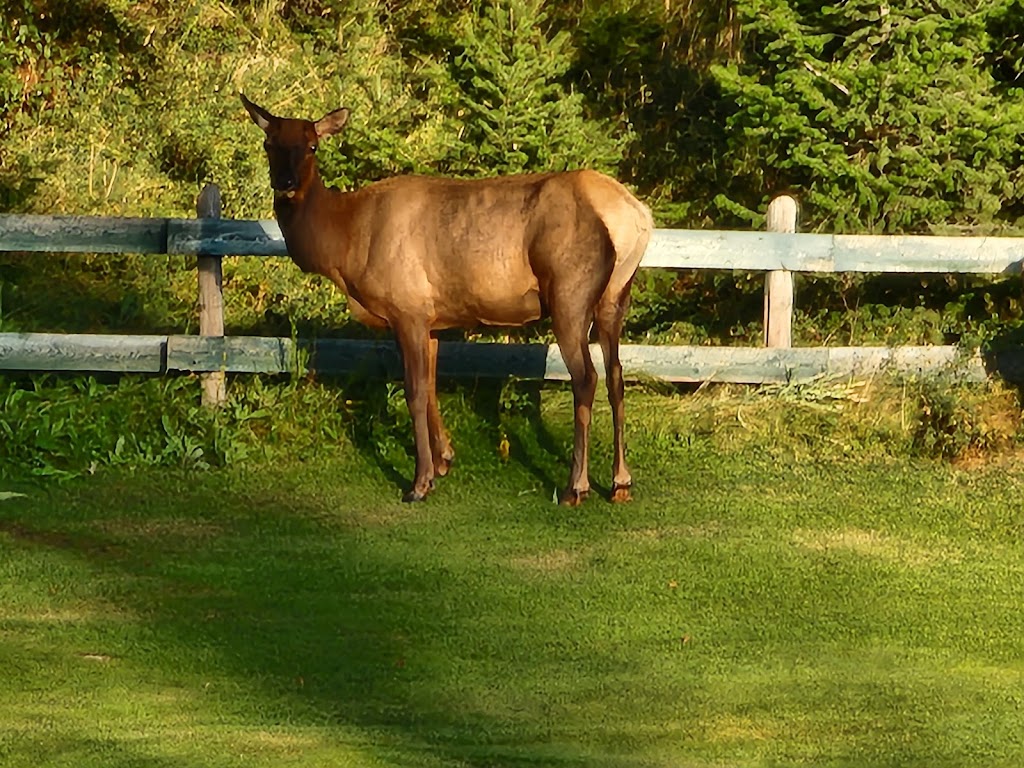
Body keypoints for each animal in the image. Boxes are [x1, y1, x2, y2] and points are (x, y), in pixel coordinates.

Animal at [243, 94, 651, 505]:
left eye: (312, 145)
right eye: (269, 143)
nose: (285, 182)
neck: (345, 243)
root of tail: (632, 216)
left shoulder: (406, 308)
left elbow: (414, 391)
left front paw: (420, 481)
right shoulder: (432, 318)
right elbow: (432, 386)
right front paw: (444, 460)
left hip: (570, 292)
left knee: (586, 378)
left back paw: (575, 486)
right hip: (616, 295)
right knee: (616, 375)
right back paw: (621, 481)